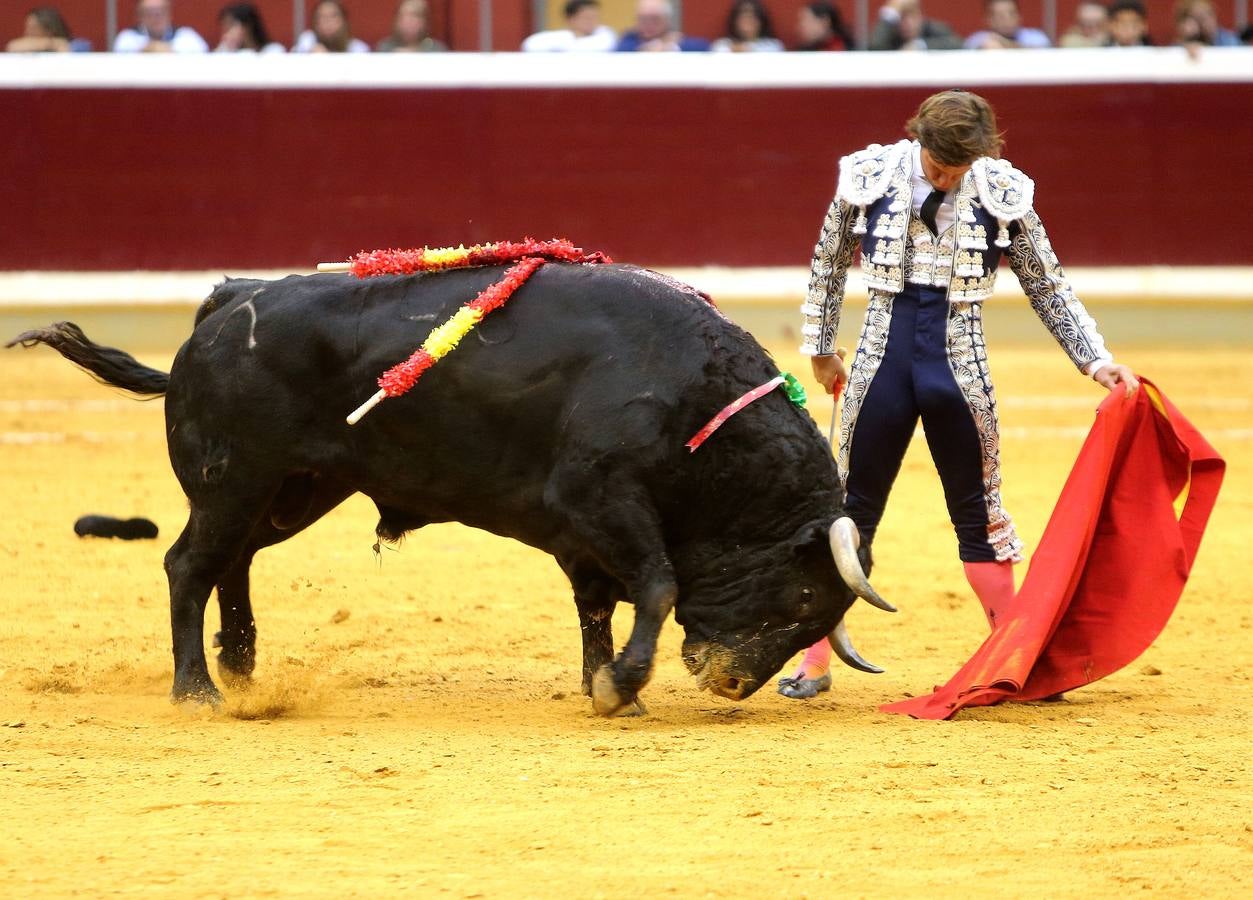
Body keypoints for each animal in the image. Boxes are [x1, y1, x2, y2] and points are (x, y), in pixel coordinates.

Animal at [9, 263, 892, 716]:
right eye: (804, 600)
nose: (730, 683)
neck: (697, 406)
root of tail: (226, 302)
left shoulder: (585, 533)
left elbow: (600, 607)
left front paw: (608, 686)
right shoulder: (601, 502)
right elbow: (658, 583)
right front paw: (621, 688)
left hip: (295, 489)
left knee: (234, 562)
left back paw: (245, 667)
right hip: (234, 482)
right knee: (189, 564)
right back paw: (198, 689)